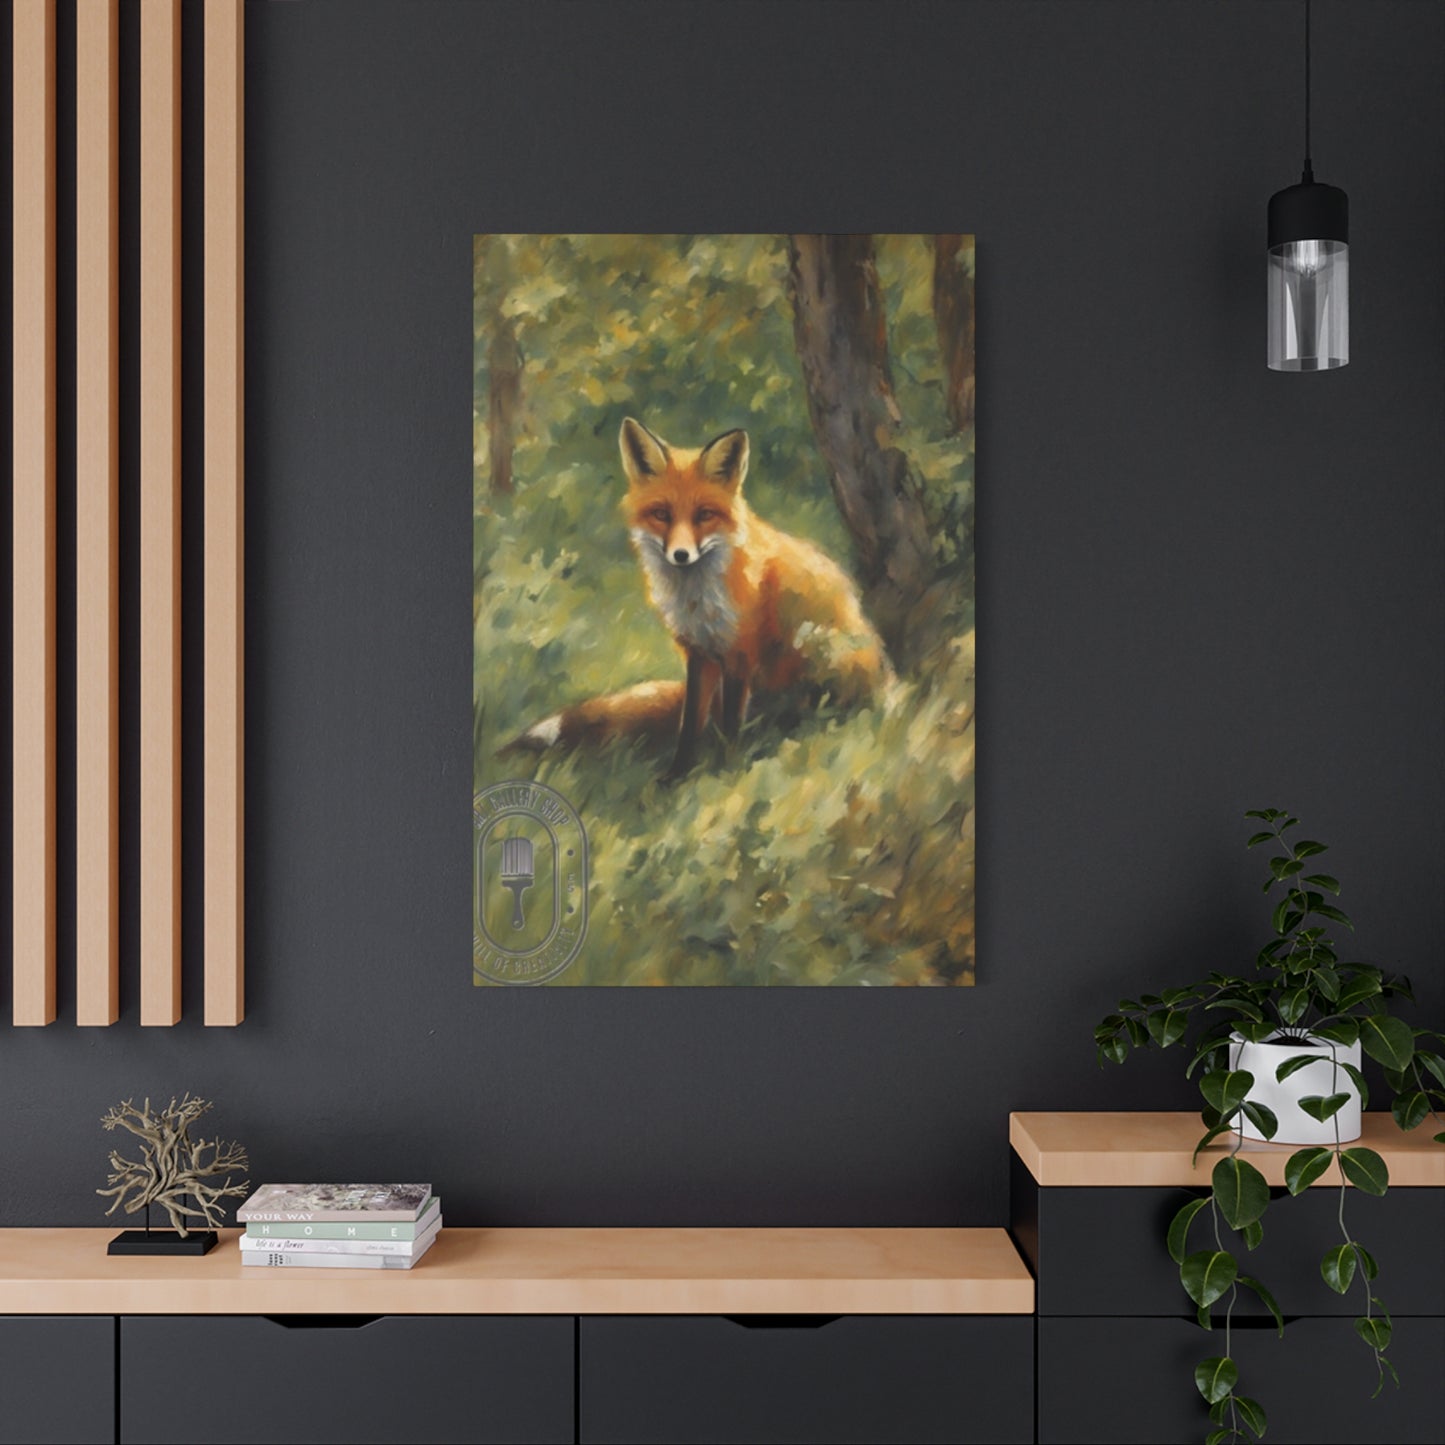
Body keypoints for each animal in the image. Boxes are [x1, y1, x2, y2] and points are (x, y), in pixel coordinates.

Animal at [508, 417, 893, 779]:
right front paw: (677, 776)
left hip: (827, 659)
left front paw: (725, 773)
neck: (696, 600)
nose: (680, 555)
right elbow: (691, 723)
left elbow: (730, 726)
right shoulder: (699, 653)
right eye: (661, 514)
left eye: (704, 515)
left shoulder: (739, 654)